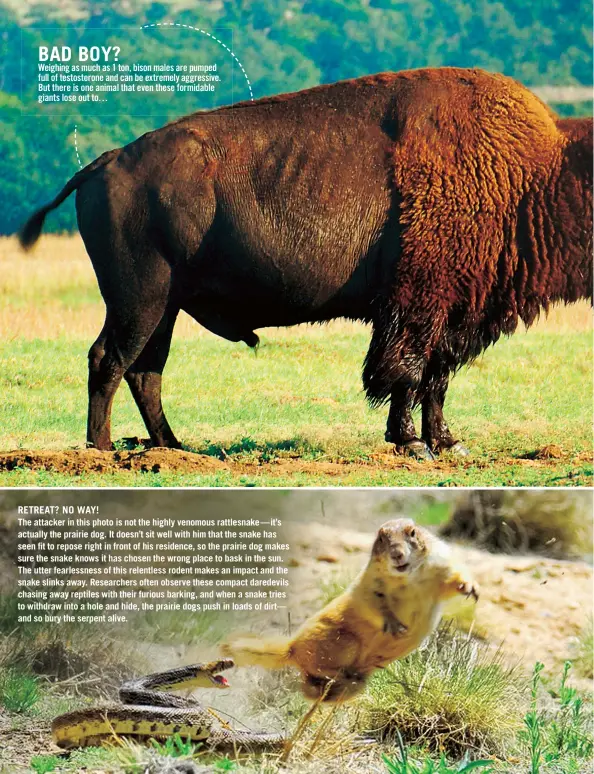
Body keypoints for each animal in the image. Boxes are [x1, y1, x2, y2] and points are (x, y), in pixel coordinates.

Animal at [19, 68, 592, 460]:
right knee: (109, 360)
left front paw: (446, 443)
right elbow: (406, 374)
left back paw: (174, 447)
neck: (539, 170)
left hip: (164, 307)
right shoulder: (419, 306)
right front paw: (412, 444)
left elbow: (436, 378)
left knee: (144, 369)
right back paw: (102, 451)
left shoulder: (456, 315)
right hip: (139, 299)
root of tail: (106, 161)